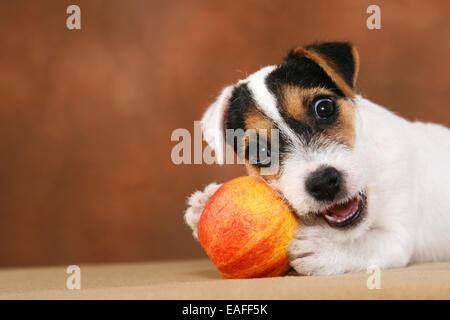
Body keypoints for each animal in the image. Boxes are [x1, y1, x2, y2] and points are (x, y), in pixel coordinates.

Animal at [183, 42, 450, 276]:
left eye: (324, 108)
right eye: (259, 151)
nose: (323, 183)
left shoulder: (396, 236)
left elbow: (363, 243)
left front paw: (326, 248)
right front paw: (204, 202)